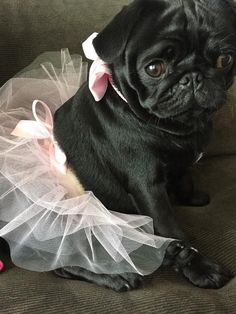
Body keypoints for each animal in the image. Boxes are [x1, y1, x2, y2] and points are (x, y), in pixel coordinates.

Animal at [53, 0, 236, 292]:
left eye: (224, 60)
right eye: (154, 68)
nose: (193, 77)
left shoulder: (181, 165)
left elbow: (184, 177)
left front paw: (191, 197)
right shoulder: (148, 188)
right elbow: (173, 233)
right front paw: (200, 268)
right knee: (65, 263)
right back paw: (117, 276)